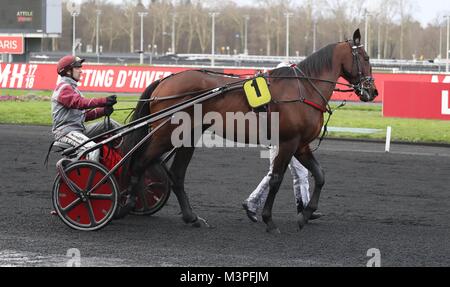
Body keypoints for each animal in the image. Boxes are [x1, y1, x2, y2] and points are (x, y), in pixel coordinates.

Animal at [121, 28, 378, 234]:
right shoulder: (288, 142)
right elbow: (276, 179)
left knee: (176, 174)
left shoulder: (301, 145)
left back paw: (191, 218)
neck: (304, 89)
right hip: (166, 133)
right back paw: (128, 202)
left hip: (188, 136)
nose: (372, 91)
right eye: (365, 57)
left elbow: (320, 175)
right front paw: (269, 220)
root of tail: (165, 81)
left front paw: (305, 215)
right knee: (140, 161)